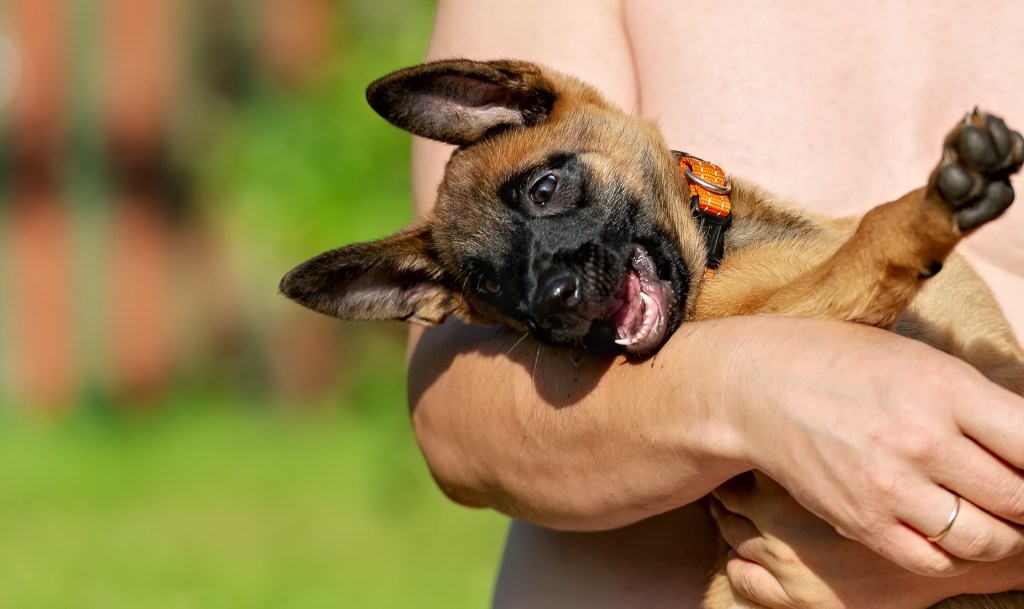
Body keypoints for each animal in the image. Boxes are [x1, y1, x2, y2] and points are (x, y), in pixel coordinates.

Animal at [278, 58, 1024, 609]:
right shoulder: (794, 323)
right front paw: (936, 200)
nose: (551, 305)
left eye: (545, 188)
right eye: (487, 284)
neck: (723, 251)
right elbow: (872, 235)